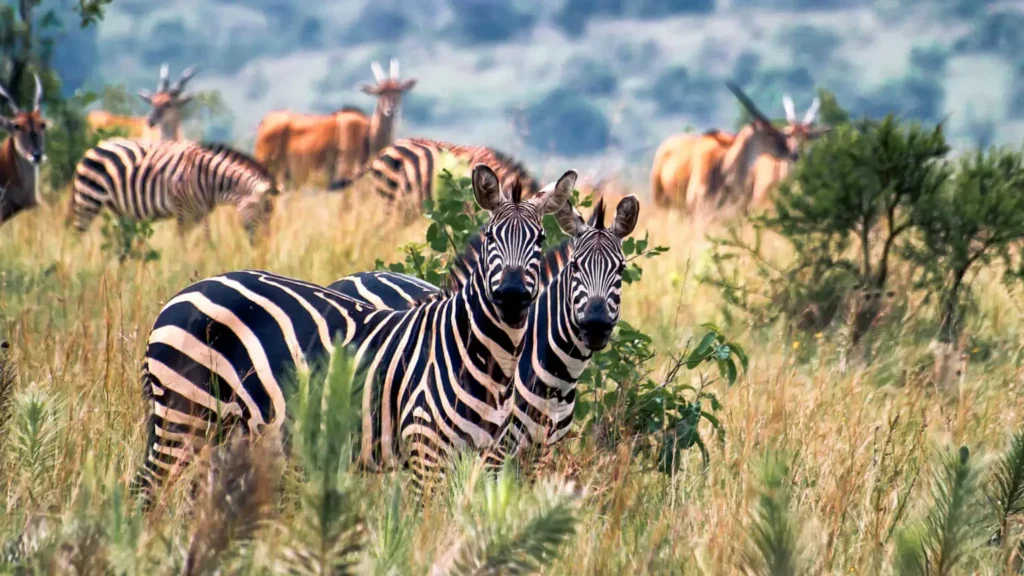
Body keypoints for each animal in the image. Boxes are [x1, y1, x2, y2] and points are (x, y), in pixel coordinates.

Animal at [253, 59, 416, 191]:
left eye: (399, 91)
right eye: (379, 92)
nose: (391, 108)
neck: (368, 133)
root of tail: (265, 121)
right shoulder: (345, 174)